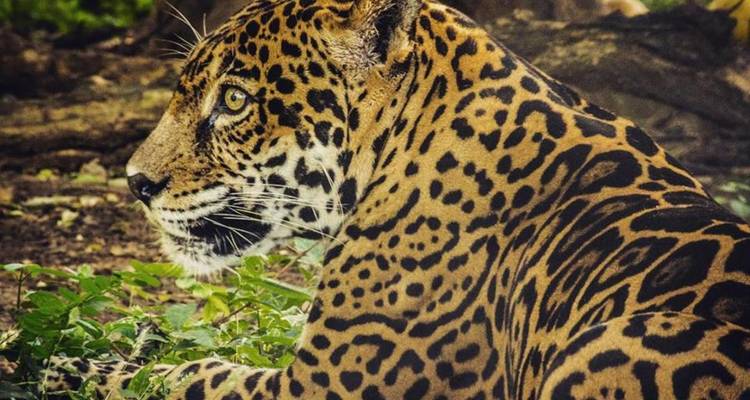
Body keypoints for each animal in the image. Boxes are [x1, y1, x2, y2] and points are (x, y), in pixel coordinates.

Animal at [42, 0, 750, 398]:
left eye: (235, 100)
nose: (135, 181)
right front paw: (137, 340)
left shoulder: (320, 386)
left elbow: (193, 376)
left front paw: (71, 369)